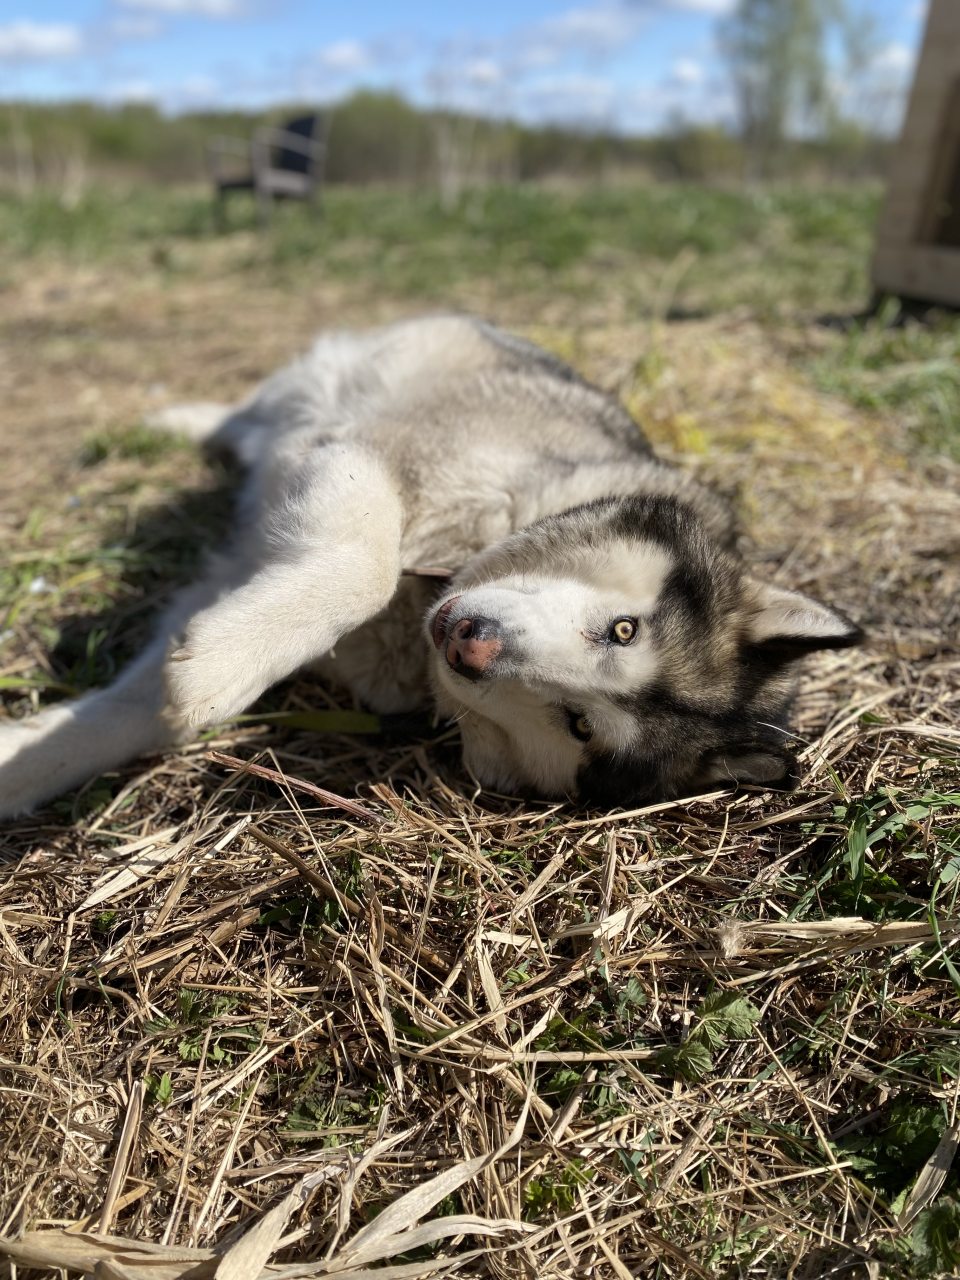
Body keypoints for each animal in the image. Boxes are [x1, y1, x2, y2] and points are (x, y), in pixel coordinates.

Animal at [0, 320, 865, 819]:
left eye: (579, 725)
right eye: (625, 629)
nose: (471, 644)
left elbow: (138, 709)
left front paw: (26, 762)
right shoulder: (374, 451)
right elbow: (365, 568)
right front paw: (216, 671)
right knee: (250, 413)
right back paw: (171, 426)